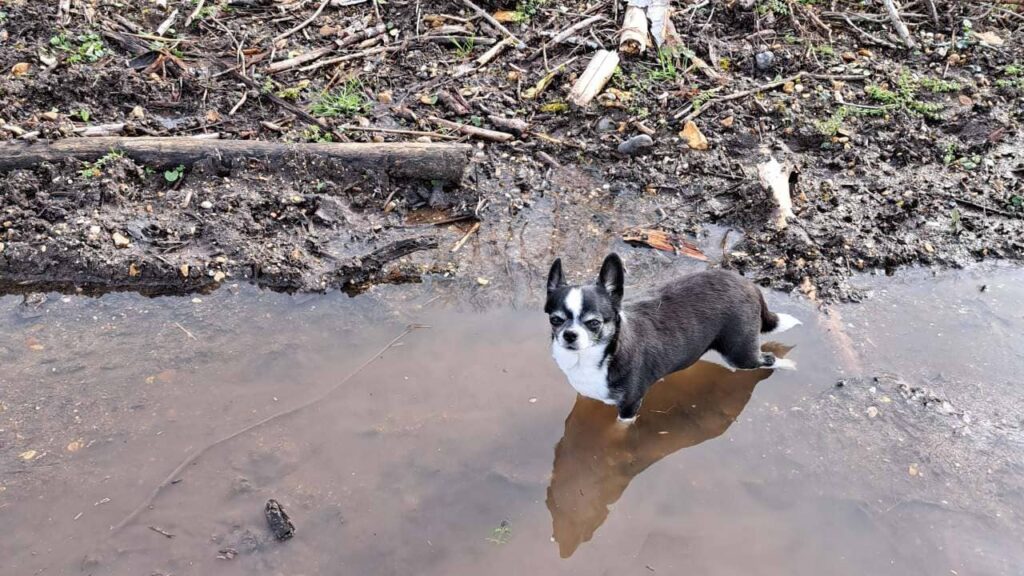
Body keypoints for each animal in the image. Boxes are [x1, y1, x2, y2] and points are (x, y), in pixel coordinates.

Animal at [544, 253, 798, 420]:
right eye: (555, 320)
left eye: (594, 323)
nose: (569, 335)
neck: (596, 358)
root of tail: (749, 284)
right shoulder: (587, 397)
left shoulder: (629, 407)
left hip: (739, 354)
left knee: (767, 359)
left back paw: (788, 365)